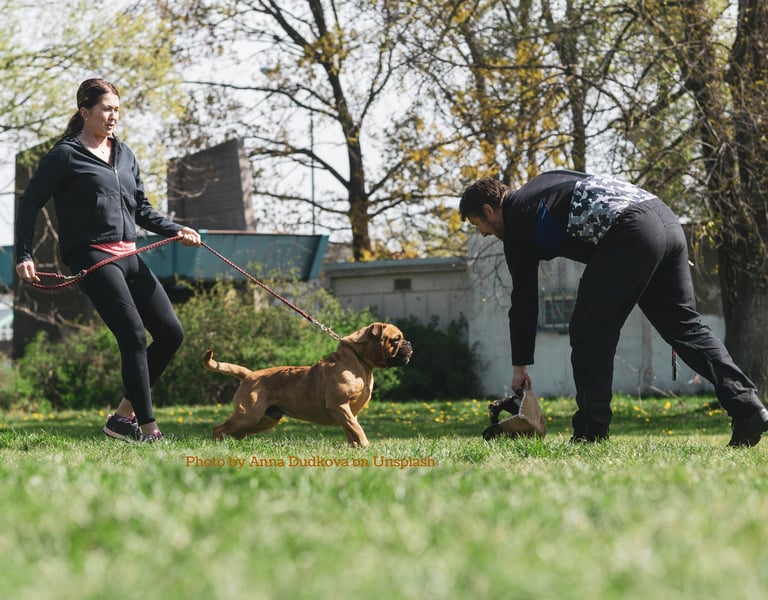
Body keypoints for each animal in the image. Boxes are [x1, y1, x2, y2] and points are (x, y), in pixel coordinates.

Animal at [203, 322, 413, 447]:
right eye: (395, 340)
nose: (409, 343)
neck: (360, 363)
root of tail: (248, 375)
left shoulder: (348, 411)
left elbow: (350, 428)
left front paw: (355, 448)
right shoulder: (339, 406)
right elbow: (356, 427)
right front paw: (365, 446)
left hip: (263, 419)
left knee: (235, 432)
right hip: (247, 415)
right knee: (219, 428)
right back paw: (217, 445)